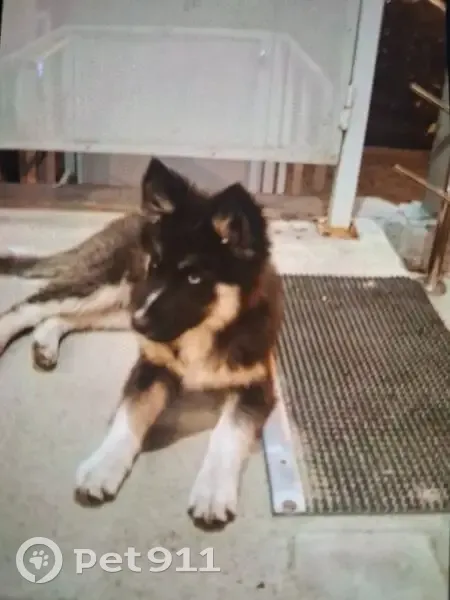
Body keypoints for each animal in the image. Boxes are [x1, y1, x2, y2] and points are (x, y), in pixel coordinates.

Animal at [0, 158, 283, 526]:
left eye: (195, 277)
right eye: (156, 265)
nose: (140, 323)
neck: (204, 330)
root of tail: (129, 217)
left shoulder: (255, 384)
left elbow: (228, 433)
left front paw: (212, 493)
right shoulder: (150, 363)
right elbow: (129, 416)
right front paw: (103, 467)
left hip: (121, 305)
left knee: (60, 316)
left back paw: (45, 345)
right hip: (112, 287)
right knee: (30, 306)